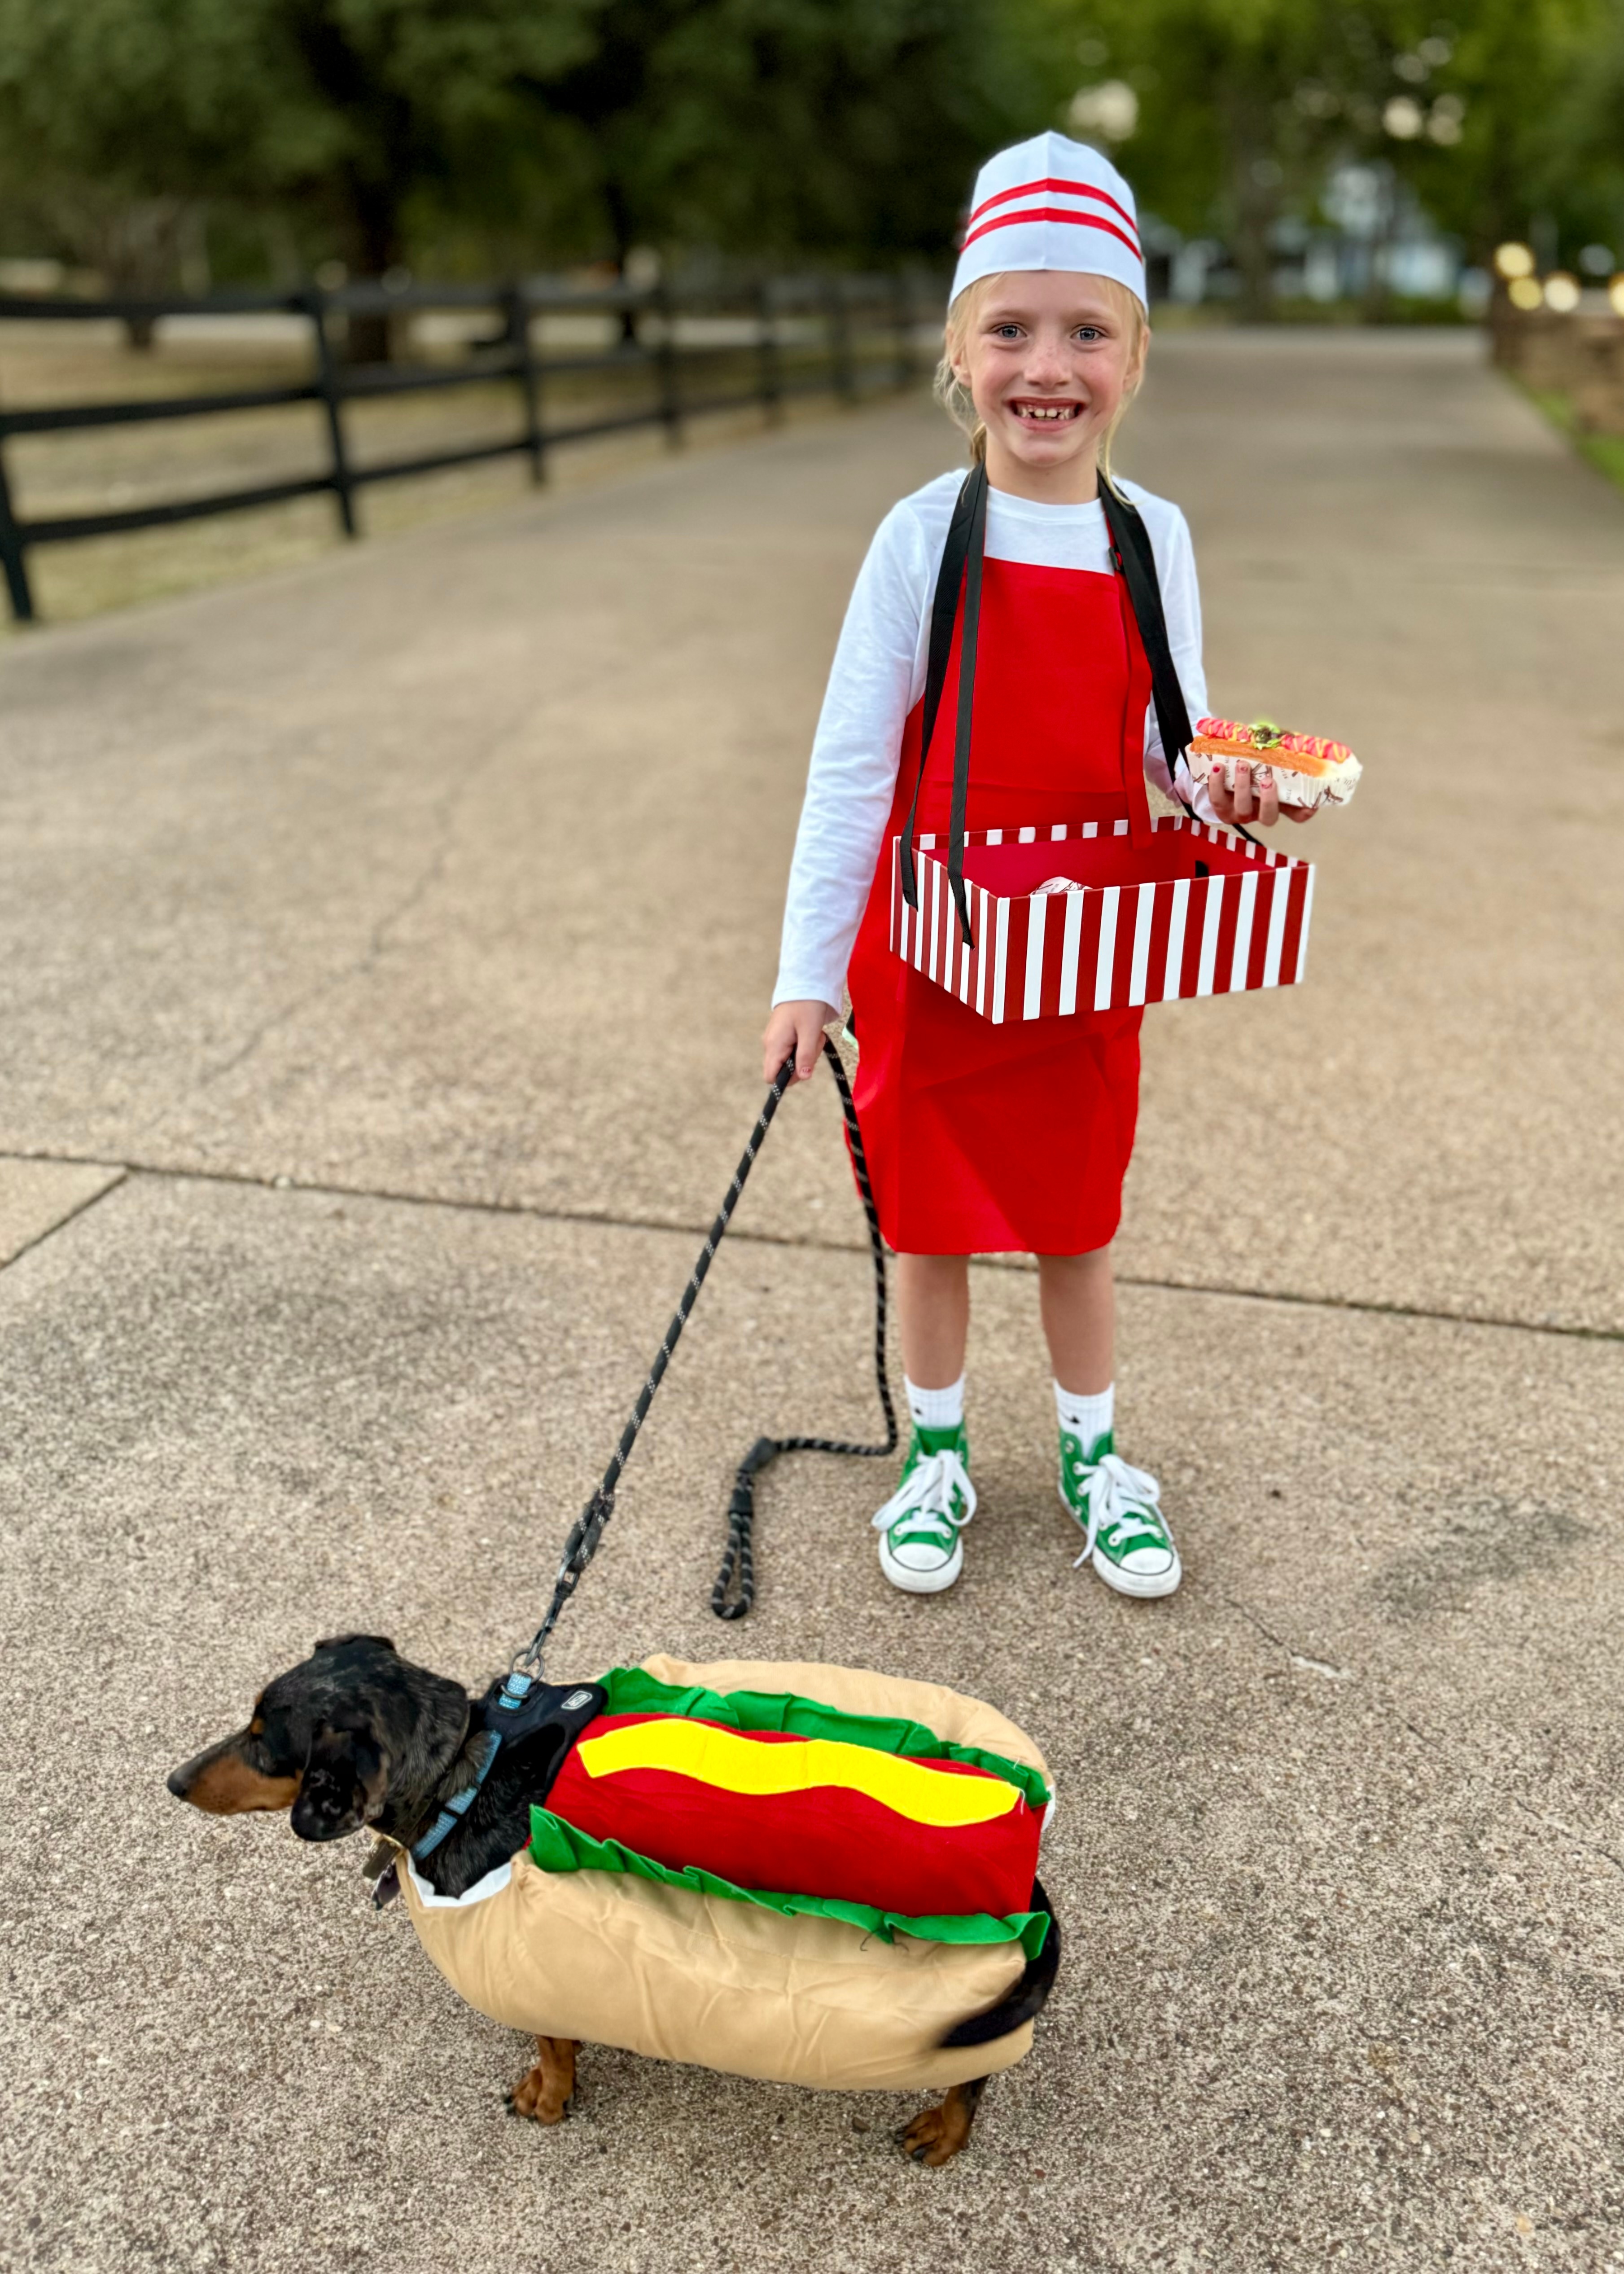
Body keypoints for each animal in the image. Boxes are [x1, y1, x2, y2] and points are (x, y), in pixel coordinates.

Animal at [171, 1637, 1064, 2164]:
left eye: (264, 1742)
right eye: (249, 1722)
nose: (174, 1780)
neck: (466, 1767)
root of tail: (1023, 1867)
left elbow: (551, 2045)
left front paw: (545, 2097)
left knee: (972, 2075)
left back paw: (944, 2131)